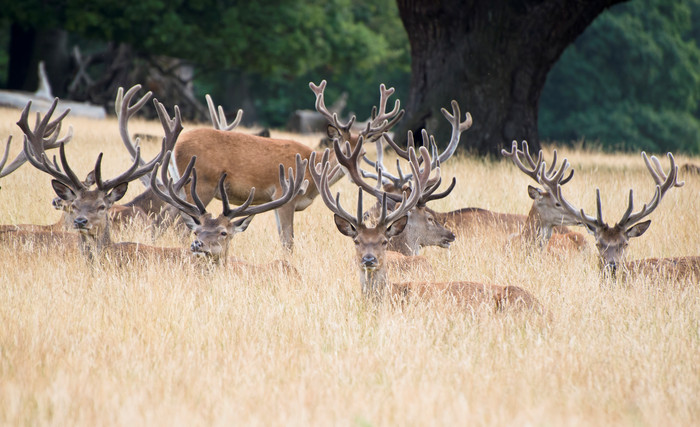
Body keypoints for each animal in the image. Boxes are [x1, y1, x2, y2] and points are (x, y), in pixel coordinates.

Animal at [172, 80, 402, 251]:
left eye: (362, 153)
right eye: (341, 147)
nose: (352, 171)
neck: (312, 172)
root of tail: (176, 147)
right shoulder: (284, 195)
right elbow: (288, 241)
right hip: (201, 185)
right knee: (183, 228)